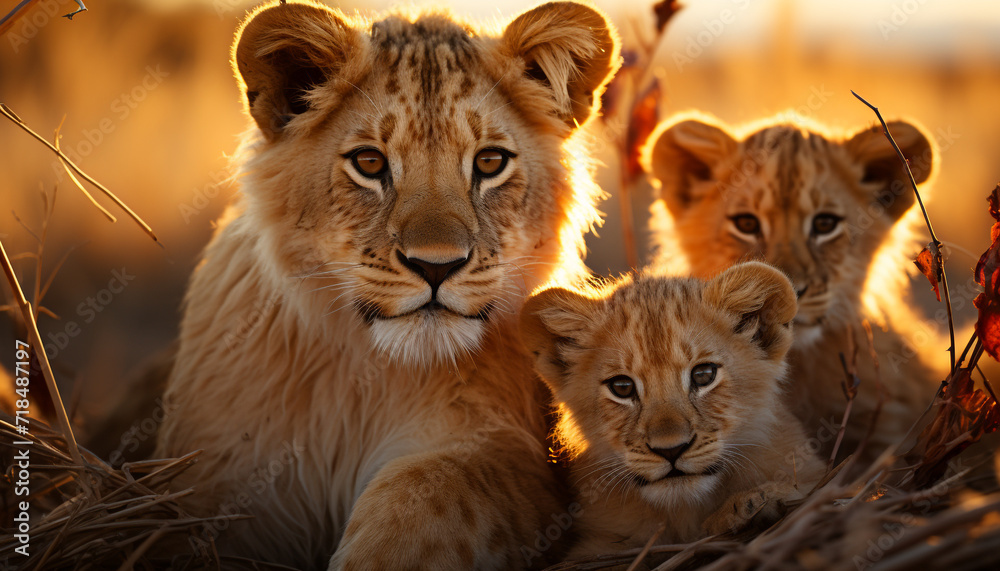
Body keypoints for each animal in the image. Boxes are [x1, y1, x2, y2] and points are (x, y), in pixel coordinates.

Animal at [154, 1, 620, 569]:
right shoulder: (220, 467)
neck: (362, 380)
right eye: (369, 163)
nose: (436, 266)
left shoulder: (513, 454)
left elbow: (425, 494)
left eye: (490, 162)